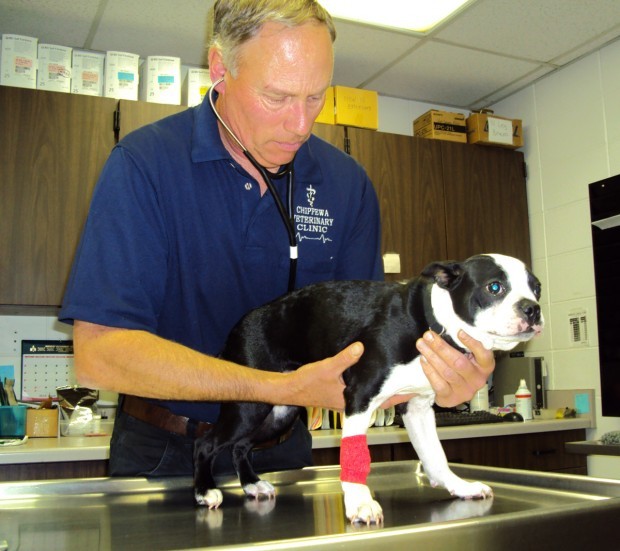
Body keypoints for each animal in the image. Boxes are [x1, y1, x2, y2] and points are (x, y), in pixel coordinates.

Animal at [193, 252, 544, 524]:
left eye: (536, 287)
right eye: (494, 287)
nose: (532, 308)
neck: (430, 321)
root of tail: (239, 327)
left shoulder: (417, 408)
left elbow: (435, 455)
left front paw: (458, 486)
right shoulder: (360, 398)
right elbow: (354, 456)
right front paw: (360, 502)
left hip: (279, 413)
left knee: (241, 446)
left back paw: (252, 484)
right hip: (247, 407)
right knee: (206, 443)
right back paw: (205, 490)